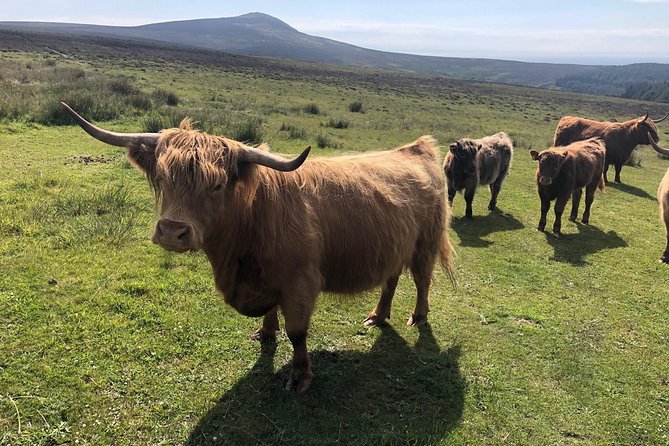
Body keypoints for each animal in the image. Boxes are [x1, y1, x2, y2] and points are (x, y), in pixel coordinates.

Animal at [62, 102, 456, 394]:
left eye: (217, 184)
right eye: (161, 178)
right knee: (391, 280)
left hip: (425, 244)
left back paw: (417, 316)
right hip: (394, 245)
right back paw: (378, 315)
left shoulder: (300, 283)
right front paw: (265, 334)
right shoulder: (268, 282)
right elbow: (271, 313)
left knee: (422, 281)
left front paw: (299, 377)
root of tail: (416, 148)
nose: (173, 232)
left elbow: (297, 332)